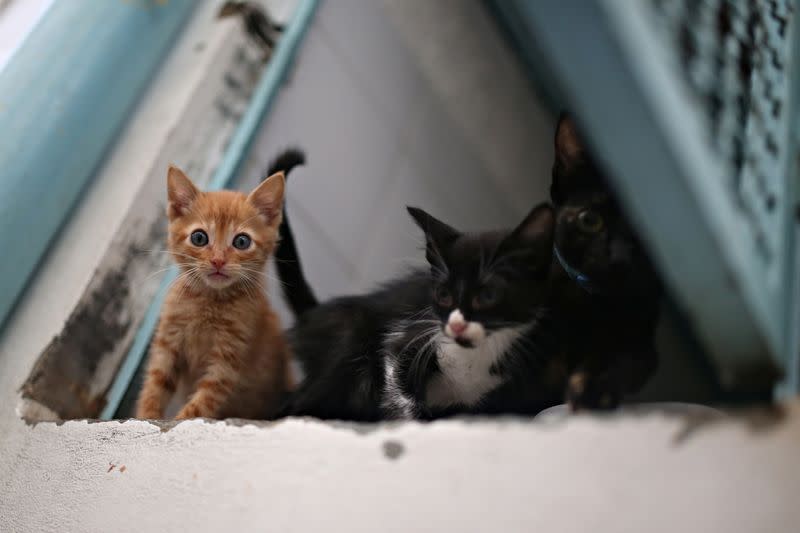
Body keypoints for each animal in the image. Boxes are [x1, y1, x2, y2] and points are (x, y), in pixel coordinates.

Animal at [136, 164, 292, 418]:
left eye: (241, 242)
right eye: (199, 237)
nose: (218, 260)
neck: (208, 300)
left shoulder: (228, 357)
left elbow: (204, 401)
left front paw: (182, 419)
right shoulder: (168, 341)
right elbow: (156, 382)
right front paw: (146, 417)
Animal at [268, 151, 564, 420]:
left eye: (488, 295)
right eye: (443, 295)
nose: (456, 325)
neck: (471, 359)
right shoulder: (410, 336)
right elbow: (398, 383)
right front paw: (407, 420)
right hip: (347, 339)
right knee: (302, 397)